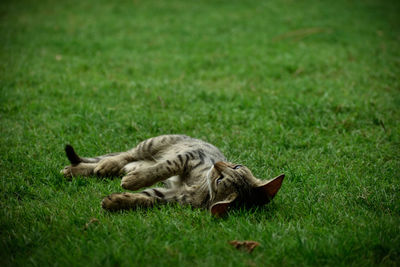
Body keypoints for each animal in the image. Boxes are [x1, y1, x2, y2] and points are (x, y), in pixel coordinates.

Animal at [61, 135, 282, 217]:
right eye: (236, 166)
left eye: (220, 180)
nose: (217, 164)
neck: (201, 187)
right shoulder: (187, 158)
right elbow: (163, 168)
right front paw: (134, 181)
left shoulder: (171, 196)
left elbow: (145, 198)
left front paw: (116, 201)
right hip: (154, 143)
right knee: (125, 155)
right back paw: (105, 165)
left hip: (143, 157)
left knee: (123, 163)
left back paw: (79, 170)